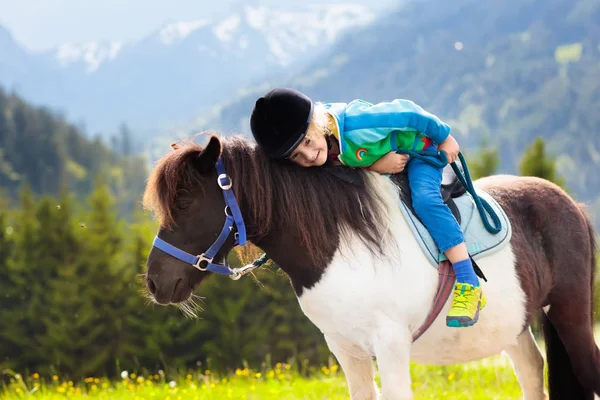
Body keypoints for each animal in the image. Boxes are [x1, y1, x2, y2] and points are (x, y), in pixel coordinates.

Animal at [142, 135, 600, 400]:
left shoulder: (391, 347)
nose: (155, 283)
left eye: (185, 202)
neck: (342, 245)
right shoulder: (347, 351)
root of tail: (572, 205)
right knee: (532, 372)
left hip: (571, 316)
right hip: (515, 328)